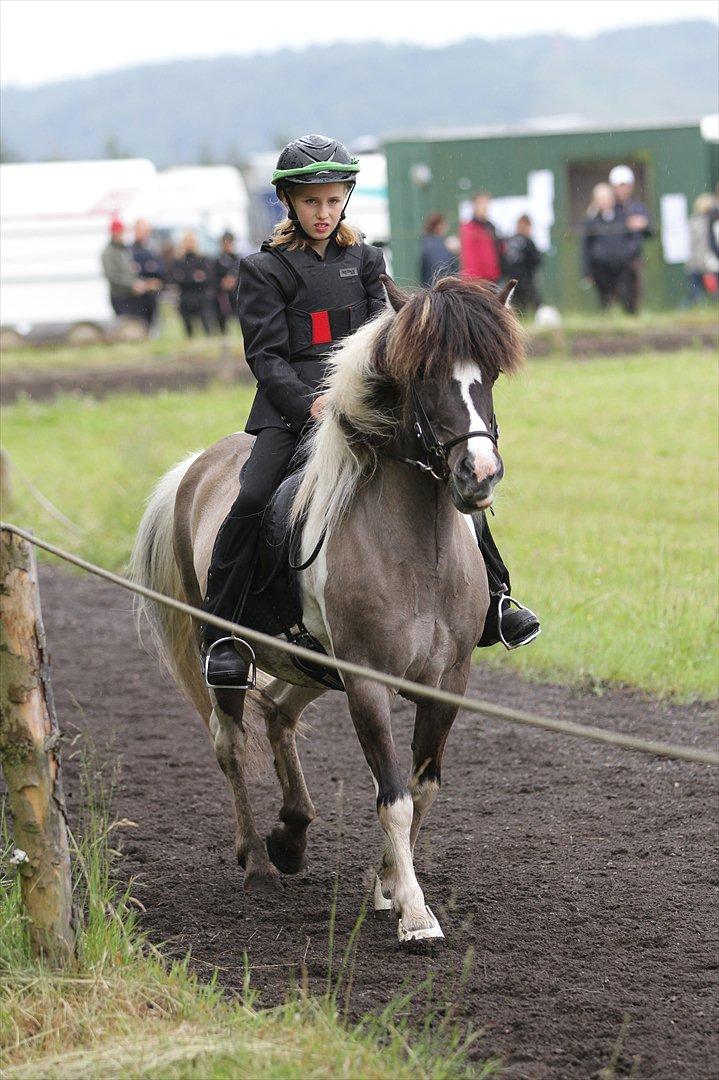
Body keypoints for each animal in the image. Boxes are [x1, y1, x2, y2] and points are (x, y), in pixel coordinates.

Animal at [131, 278, 520, 946]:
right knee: (230, 742)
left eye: (489, 375)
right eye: (426, 376)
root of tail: (197, 465)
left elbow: (423, 790)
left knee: (278, 716)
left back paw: (290, 833)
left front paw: (385, 887)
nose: (480, 476)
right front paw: (415, 913)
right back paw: (259, 863)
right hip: (233, 658)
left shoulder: (448, 683)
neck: (418, 549)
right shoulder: (366, 682)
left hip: (308, 664)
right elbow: (394, 796)